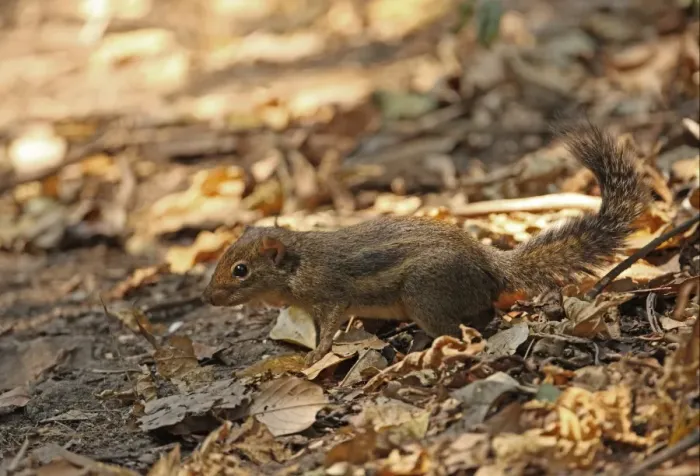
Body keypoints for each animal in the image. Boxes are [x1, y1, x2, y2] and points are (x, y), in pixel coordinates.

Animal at [202, 123, 649, 365]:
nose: (208, 297)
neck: (300, 263)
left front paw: (314, 356)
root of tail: (491, 264)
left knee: (474, 322)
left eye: (240, 271)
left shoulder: (330, 296)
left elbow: (328, 330)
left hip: (425, 296)